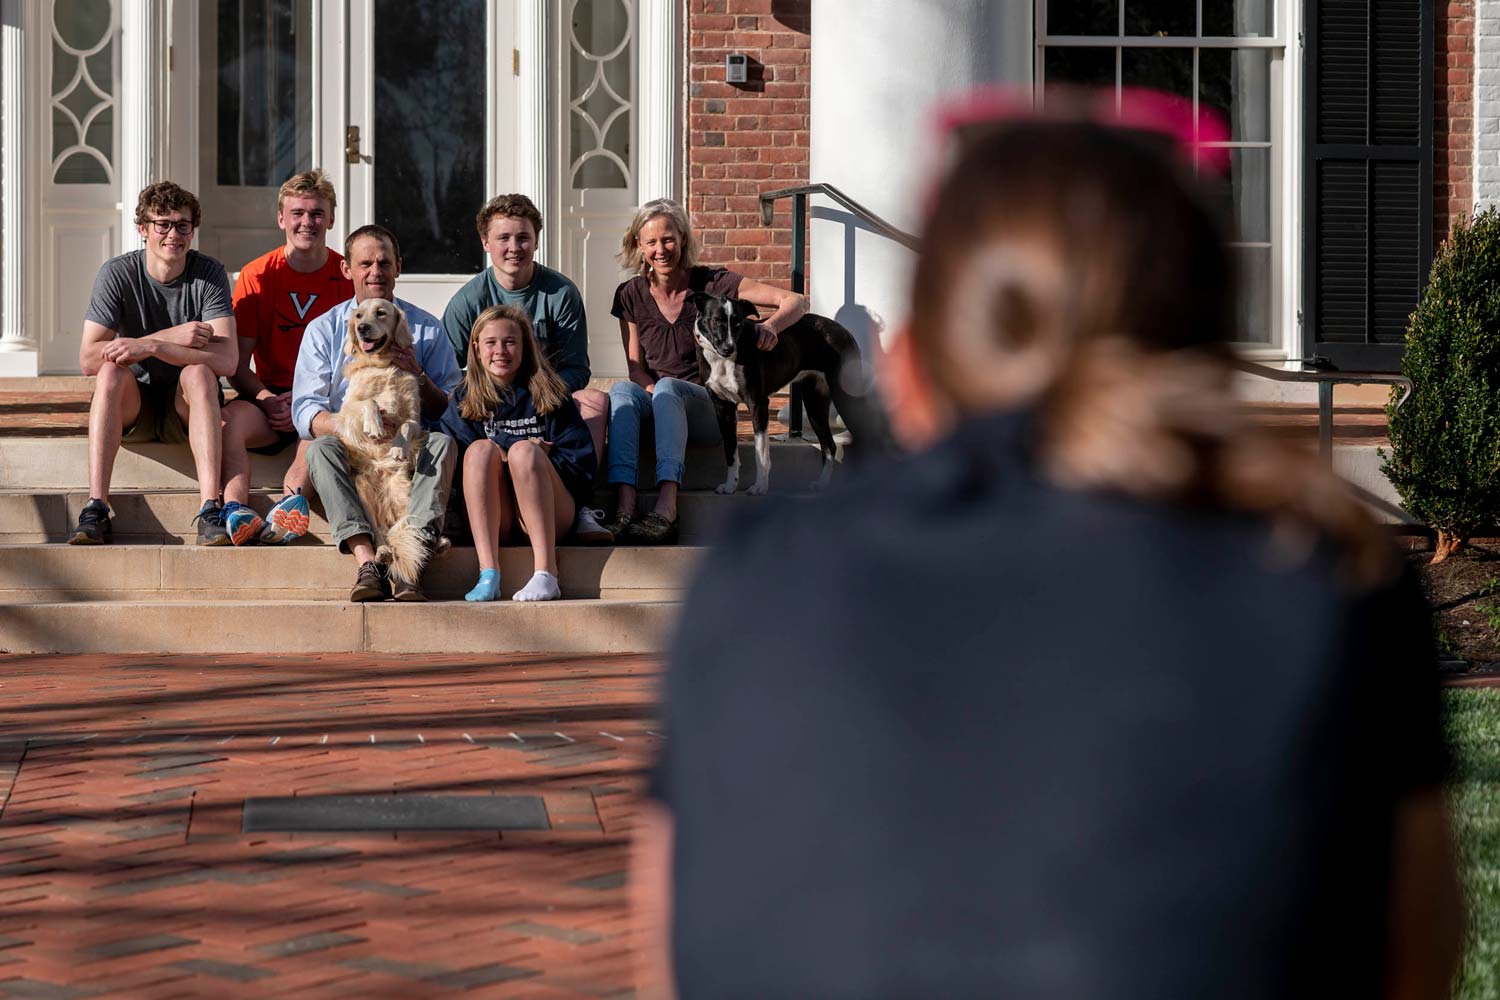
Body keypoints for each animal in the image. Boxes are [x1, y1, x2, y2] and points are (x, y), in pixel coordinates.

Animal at [693, 289, 888, 497]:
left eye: (738, 323)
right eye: (716, 321)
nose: (729, 348)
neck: (722, 360)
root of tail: (844, 330)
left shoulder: (758, 404)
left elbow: (760, 453)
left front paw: (760, 486)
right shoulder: (723, 408)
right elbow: (730, 451)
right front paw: (730, 486)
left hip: (845, 396)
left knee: (866, 439)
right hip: (814, 404)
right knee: (829, 445)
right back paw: (822, 484)